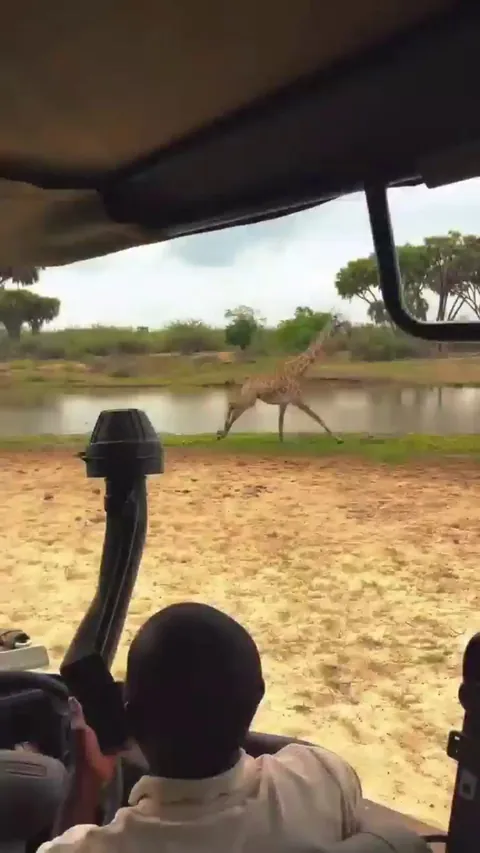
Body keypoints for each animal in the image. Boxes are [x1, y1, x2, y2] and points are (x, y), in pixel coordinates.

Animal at [216, 315, 346, 443]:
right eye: (337, 324)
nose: (344, 330)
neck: (297, 371)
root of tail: (245, 382)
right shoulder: (296, 400)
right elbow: (317, 417)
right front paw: (338, 439)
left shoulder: (284, 403)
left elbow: (281, 424)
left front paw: (281, 440)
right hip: (250, 398)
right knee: (232, 406)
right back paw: (222, 433)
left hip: (249, 398)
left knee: (234, 408)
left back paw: (222, 433)